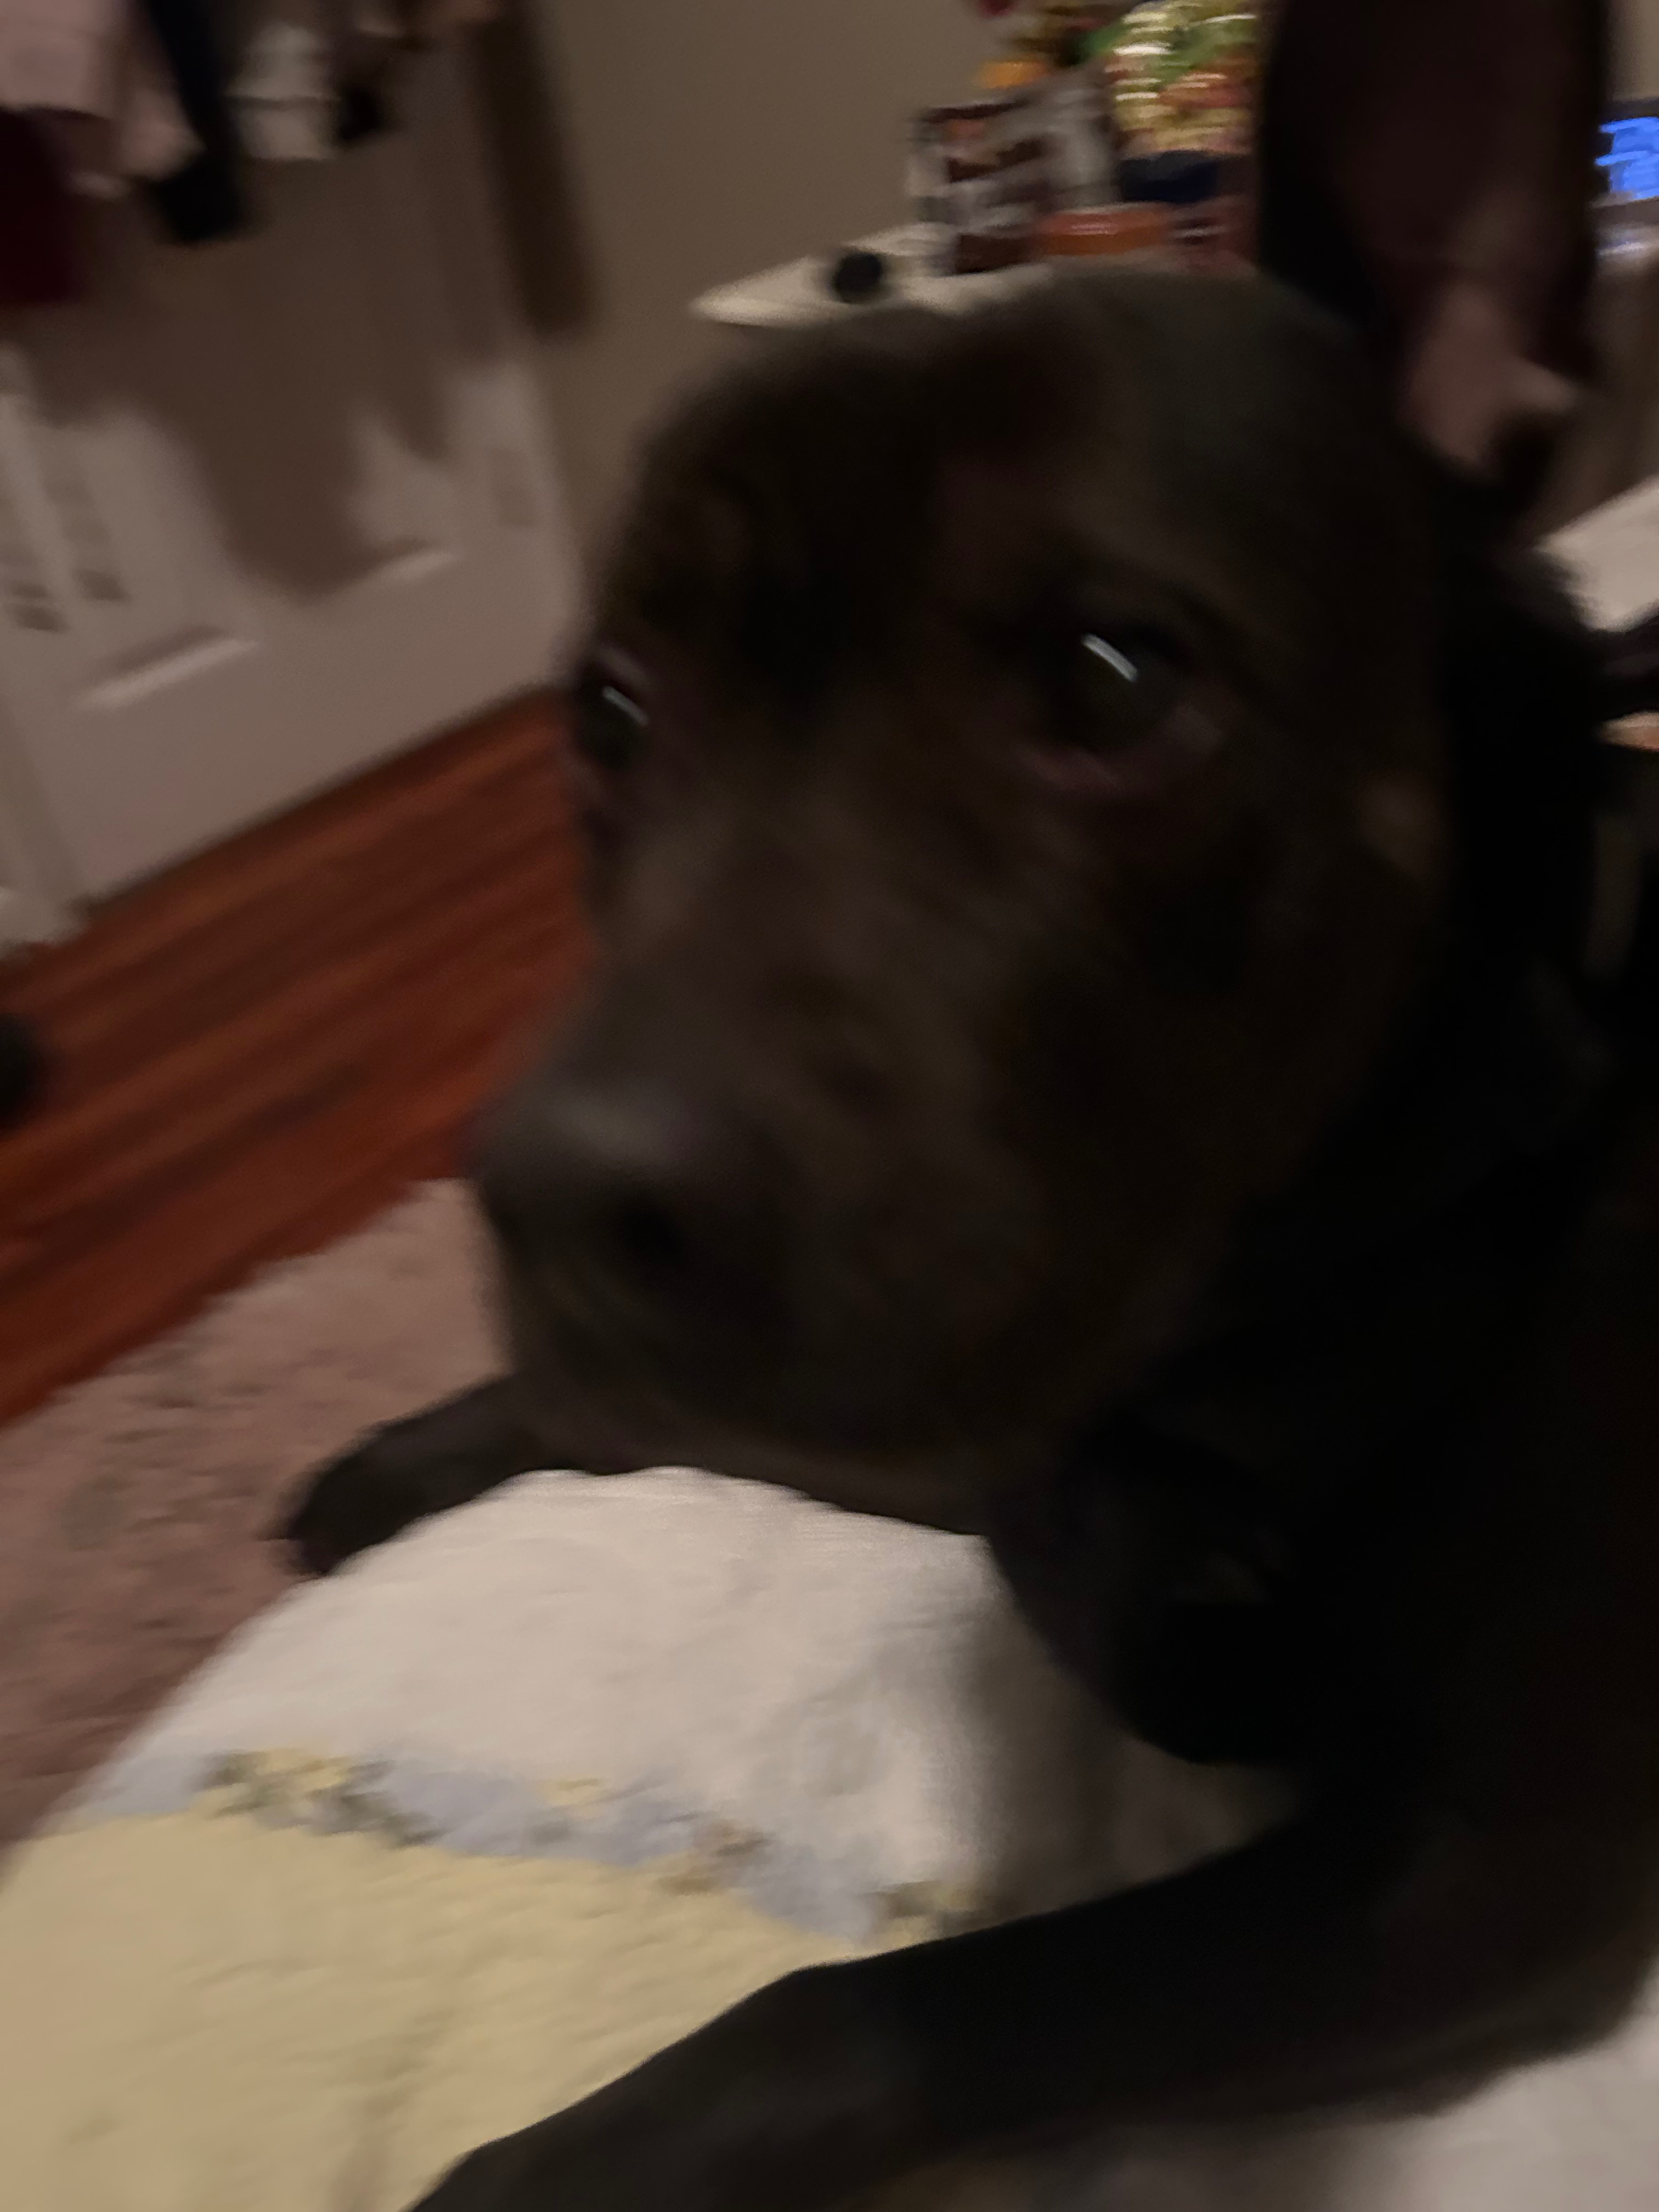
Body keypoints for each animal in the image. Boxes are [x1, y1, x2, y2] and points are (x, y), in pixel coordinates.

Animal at [279, 11, 1659, 2210]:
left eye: (1113, 678)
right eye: (609, 712)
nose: (556, 1203)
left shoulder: (1480, 1870)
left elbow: (879, 2010)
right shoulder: (991, 1426)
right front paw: (425, 1445)